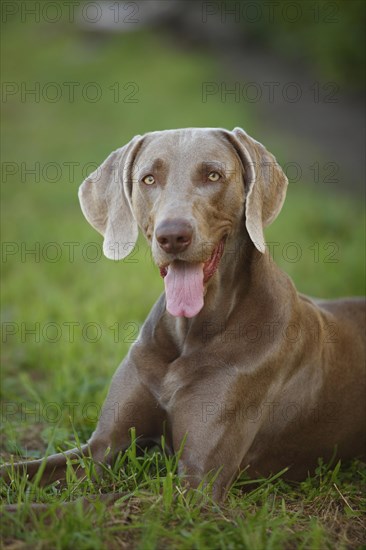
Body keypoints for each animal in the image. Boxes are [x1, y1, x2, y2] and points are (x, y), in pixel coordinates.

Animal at [1, 128, 364, 500]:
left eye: (213, 175)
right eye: (148, 178)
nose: (172, 235)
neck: (190, 332)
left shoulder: (196, 482)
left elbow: (98, 502)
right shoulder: (99, 447)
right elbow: (22, 472)